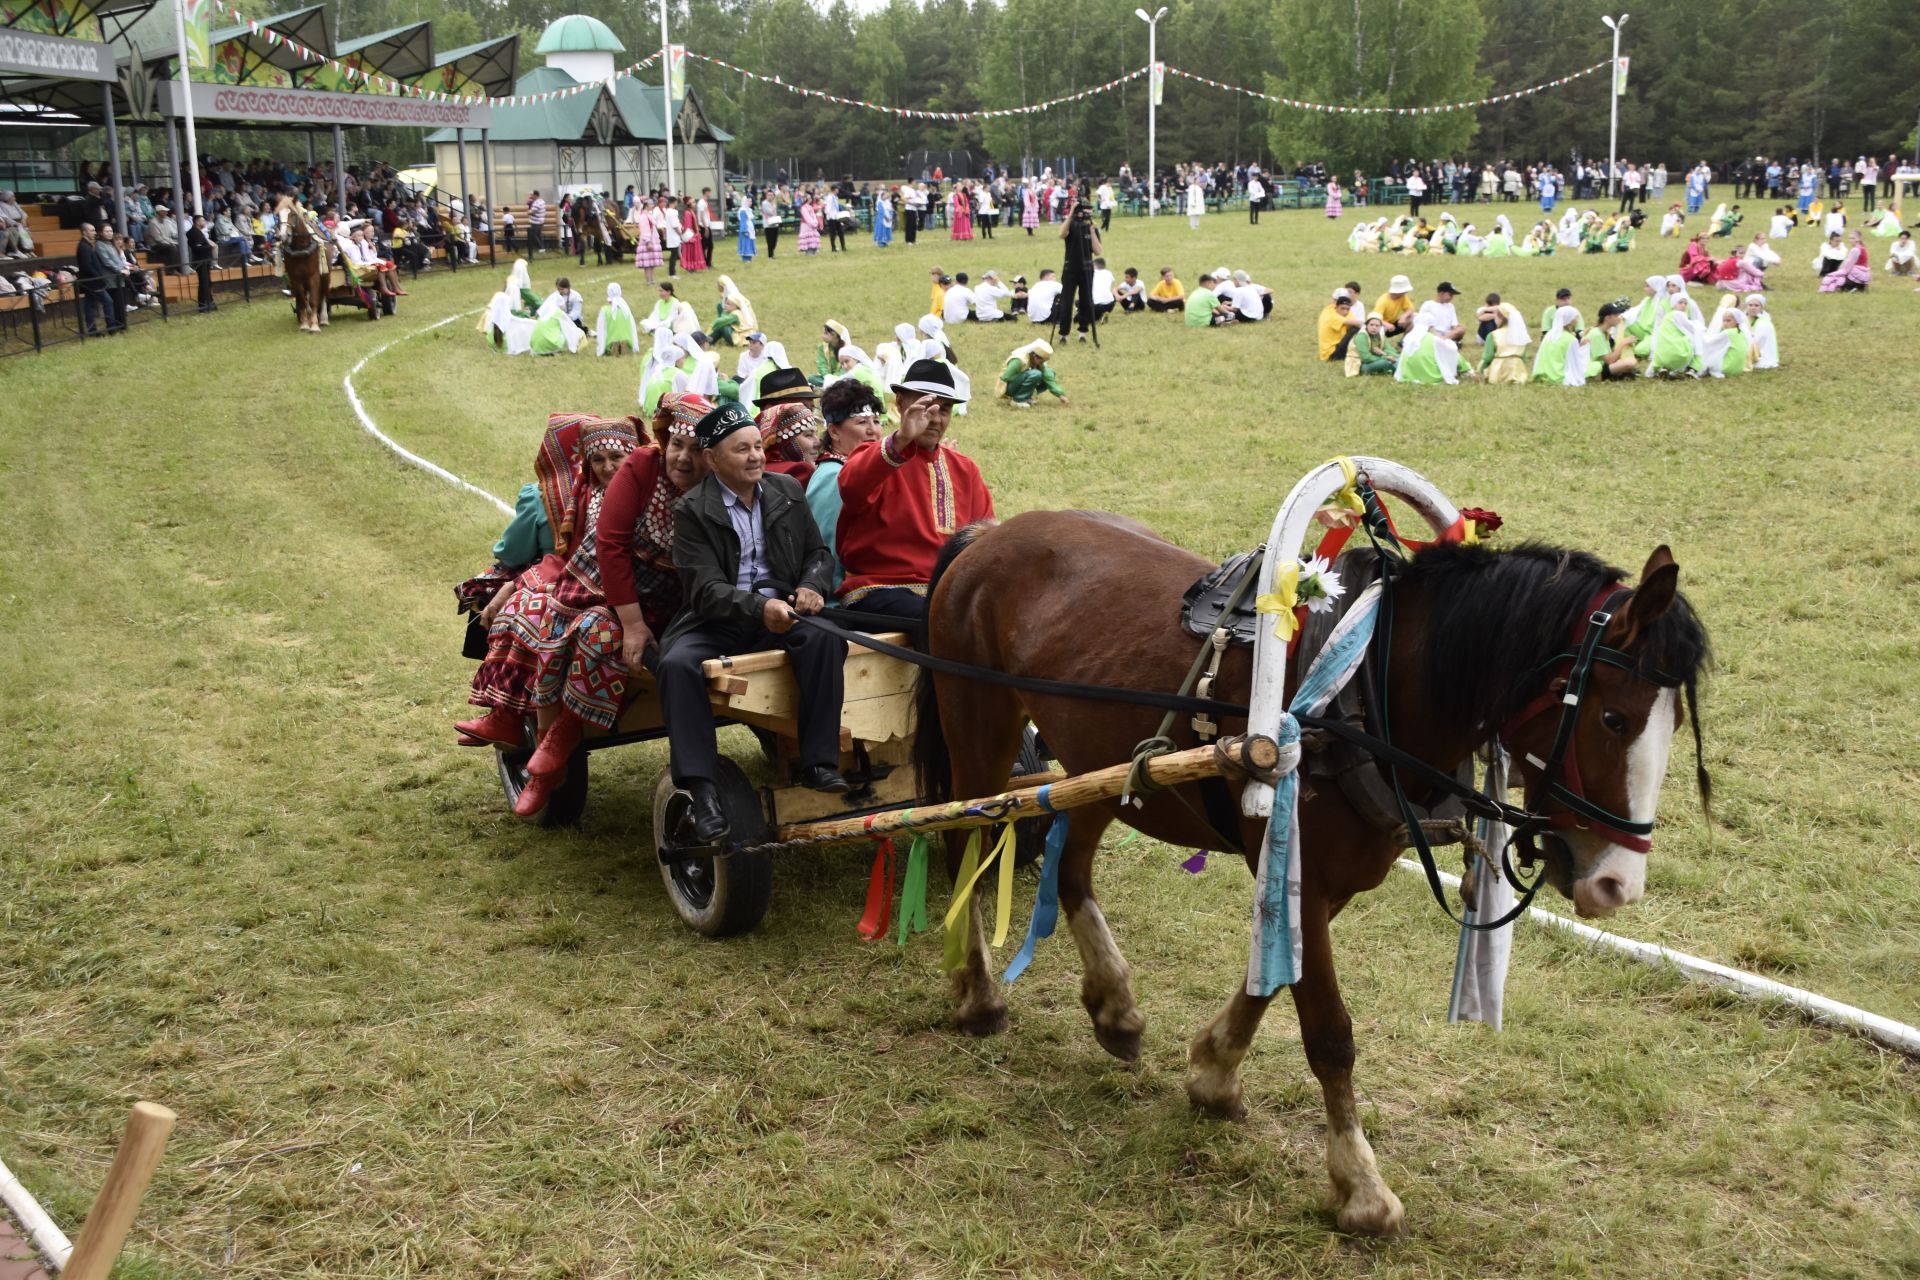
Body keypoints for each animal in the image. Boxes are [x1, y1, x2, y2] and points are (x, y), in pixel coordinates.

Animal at [280, 195, 328, 335]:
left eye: (293, 214)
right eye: (277, 214)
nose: (282, 235)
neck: (301, 248)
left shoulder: (314, 276)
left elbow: (313, 299)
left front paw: (315, 326)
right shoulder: (295, 278)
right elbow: (301, 300)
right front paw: (305, 324)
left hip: (325, 276)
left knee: (323, 295)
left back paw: (323, 318)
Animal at [913, 506, 1712, 1228]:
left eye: (1674, 722)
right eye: (1613, 718)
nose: (1617, 885)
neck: (1366, 695)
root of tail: (991, 533)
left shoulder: (1319, 882)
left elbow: (1269, 979)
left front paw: (1213, 1072)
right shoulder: (1302, 872)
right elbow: (1329, 1032)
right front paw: (1359, 1185)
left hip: (1100, 763)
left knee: (1071, 866)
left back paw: (1113, 1006)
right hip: (980, 726)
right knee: (965, 849)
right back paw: (978, 992)